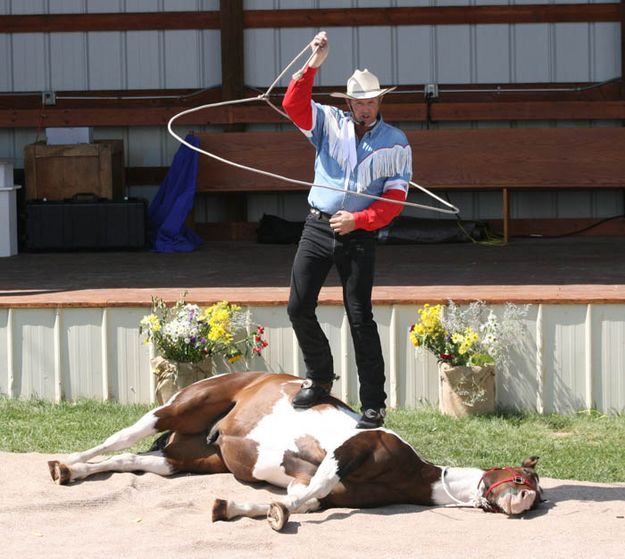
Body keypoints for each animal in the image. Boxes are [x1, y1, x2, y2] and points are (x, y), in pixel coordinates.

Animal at [47, 372, 540, 528]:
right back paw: (66, 464)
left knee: (131, 460)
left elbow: (301, 498)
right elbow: (301, 500)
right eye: (522, 477)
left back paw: (73, 473)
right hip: (174, 412)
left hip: (187, 458)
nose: (523, 501)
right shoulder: (344, 455)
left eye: (536, 493)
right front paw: (275, 515)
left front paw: (237, 508)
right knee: (117, 440)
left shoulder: (319, 485)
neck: (408, 471)